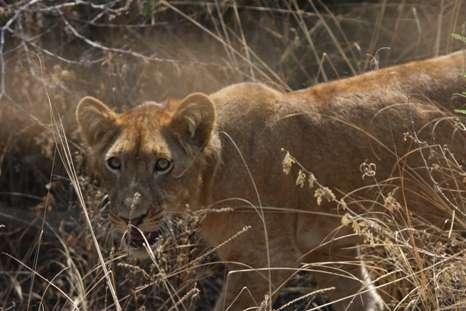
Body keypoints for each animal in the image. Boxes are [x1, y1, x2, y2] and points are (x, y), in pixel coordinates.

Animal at [77, 50, 466, 310]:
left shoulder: (266, 261)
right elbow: (362, 300)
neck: (214, 171)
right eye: (114, 163)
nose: (131, 217)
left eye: (162, 164)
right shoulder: (332, 251)